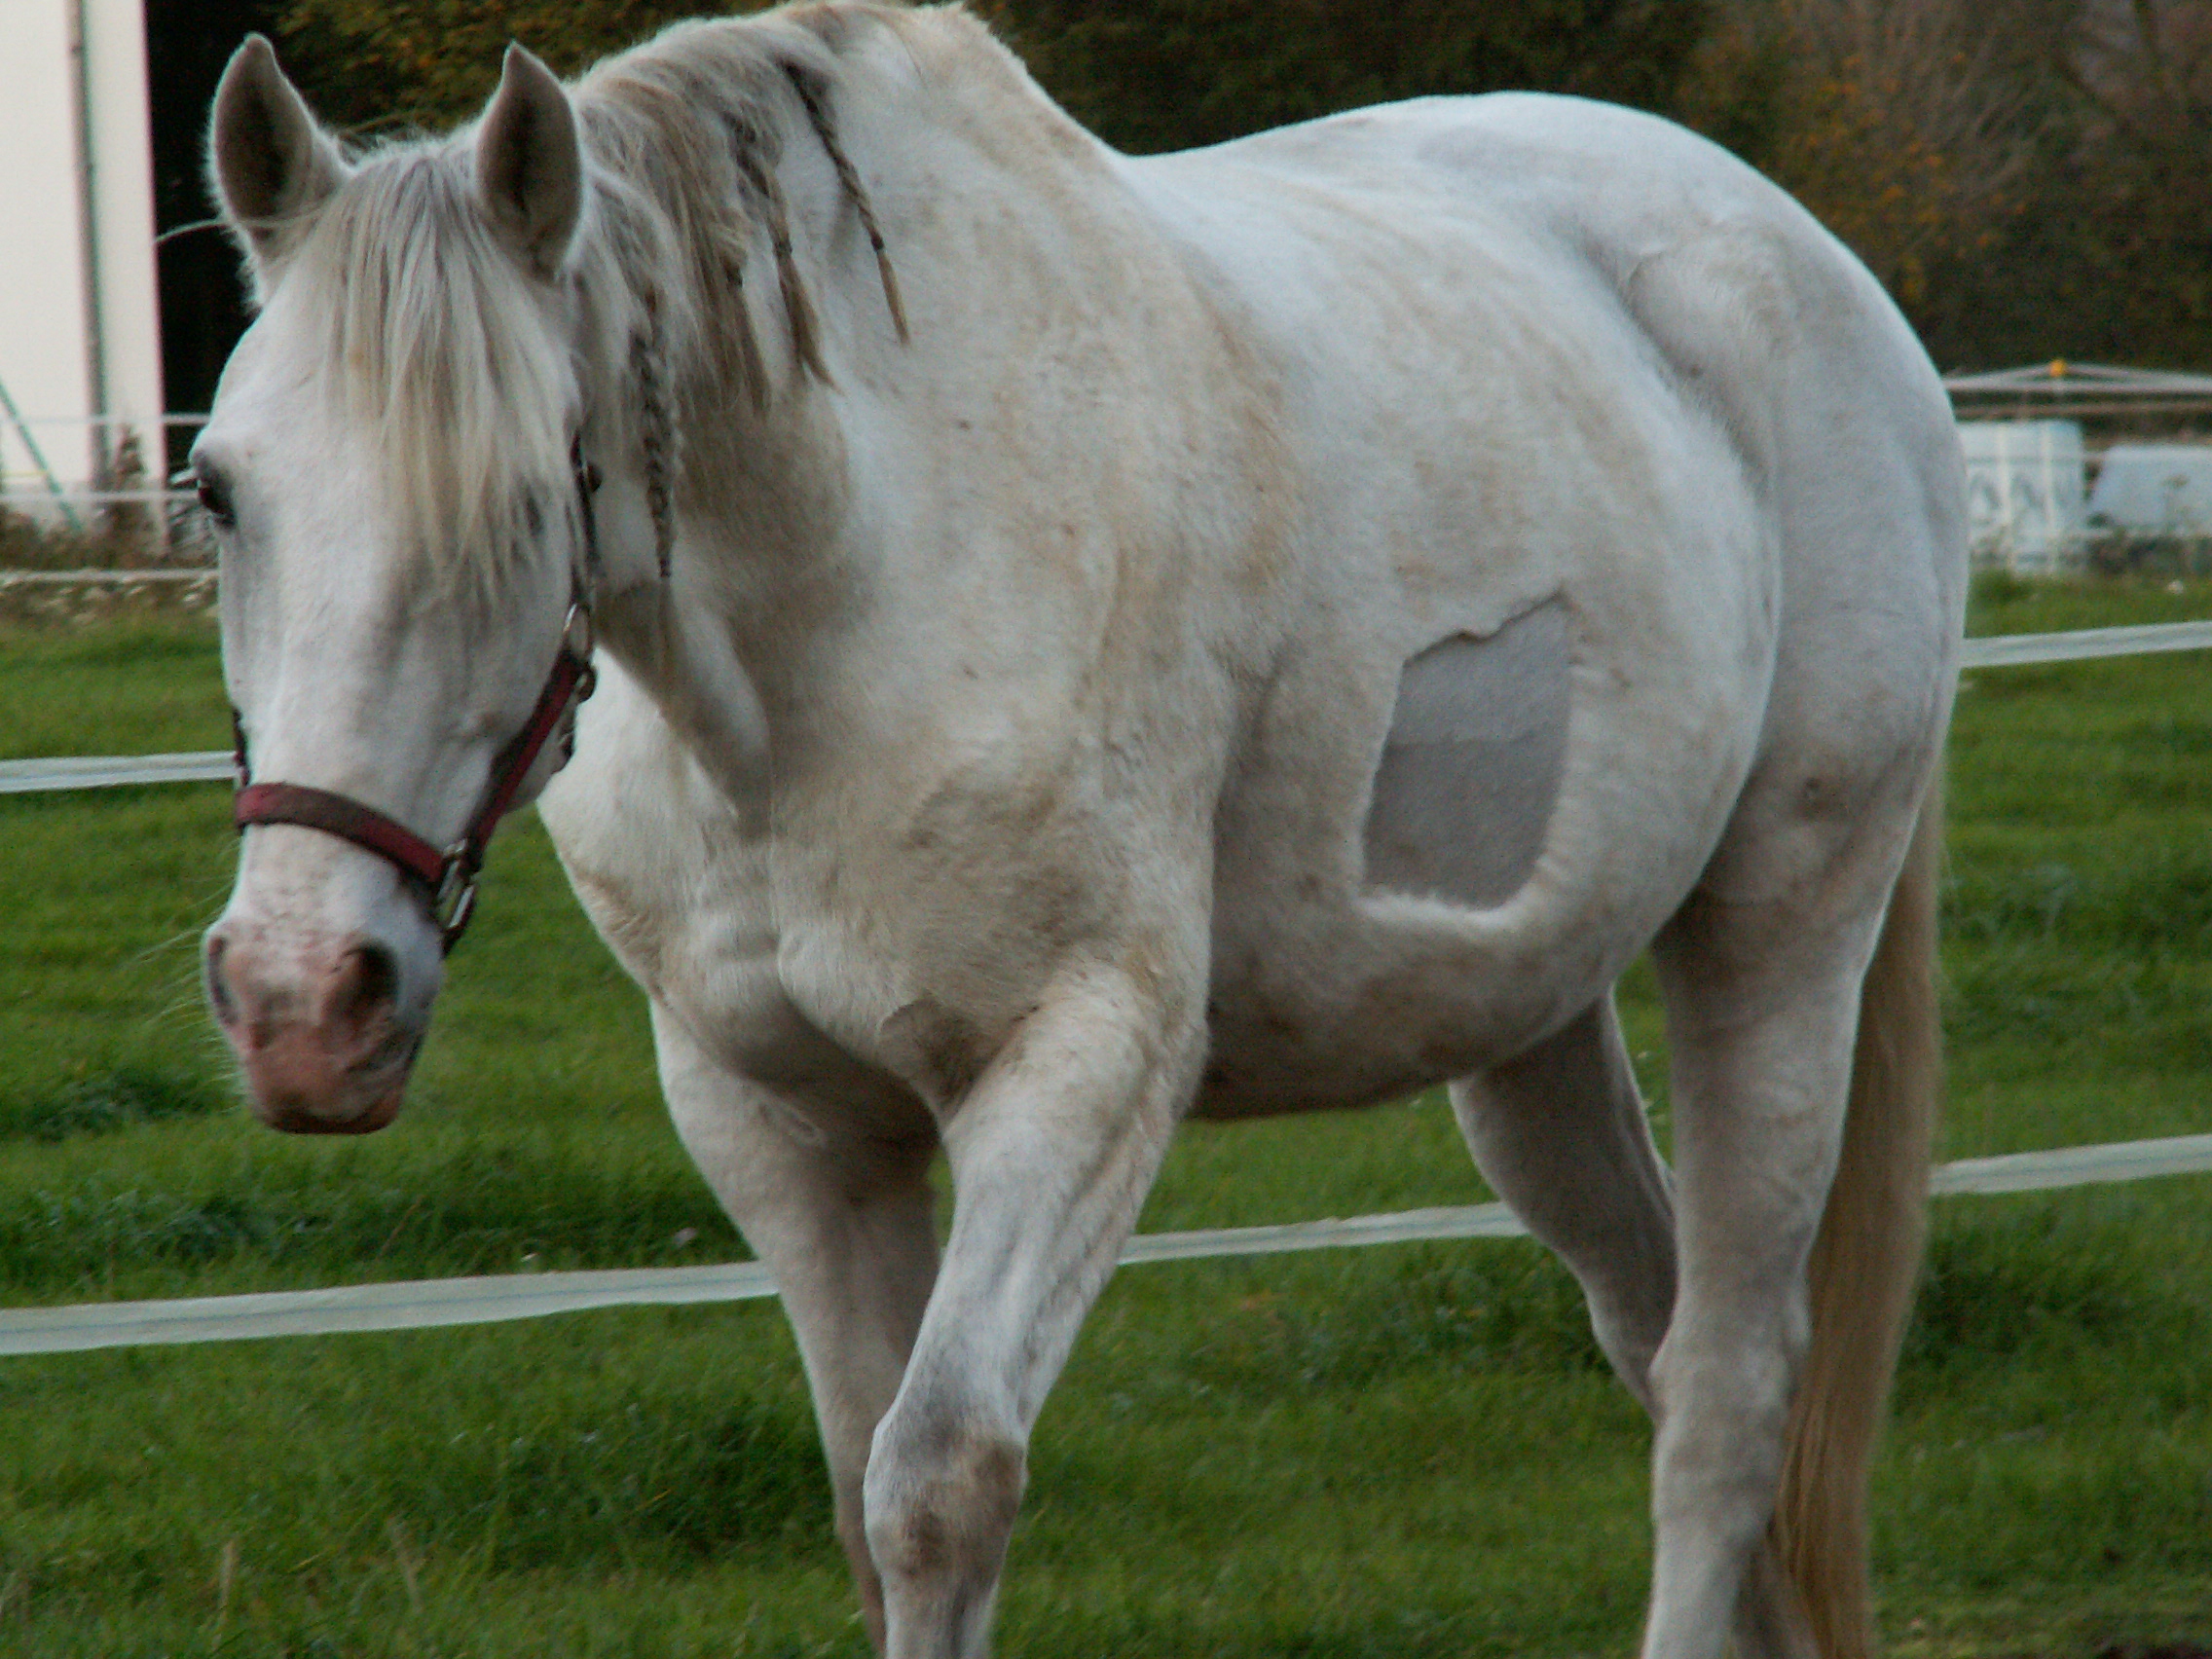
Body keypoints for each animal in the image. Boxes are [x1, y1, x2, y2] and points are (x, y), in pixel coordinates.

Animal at [195, 6, 1963, 1656]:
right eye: (217, 493)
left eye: (524, 502)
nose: (301, 1000)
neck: (850, 586)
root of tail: (1823, 277)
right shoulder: (777, 1118)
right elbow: (858, 1489)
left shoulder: (1079, 1060)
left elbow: (936, 1483)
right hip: (1526, 1008)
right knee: (1654, 1330)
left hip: (1779, 935)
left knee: (1730, 1386)